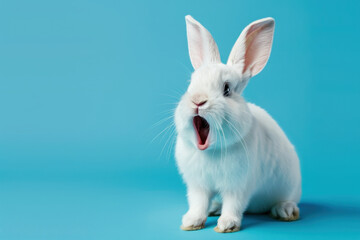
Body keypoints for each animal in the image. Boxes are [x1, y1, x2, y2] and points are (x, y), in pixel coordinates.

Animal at [174, 15, 300, 232]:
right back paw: (214, 208)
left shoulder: (238, 186)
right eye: (190, 85)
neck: (212, 151)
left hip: (290, 186)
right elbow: (198, 204)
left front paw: (226, 225)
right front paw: (191, 221)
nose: (198, 100)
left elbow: (234, 205)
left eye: (226, 89)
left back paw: (285, 210)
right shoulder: (198, 185)